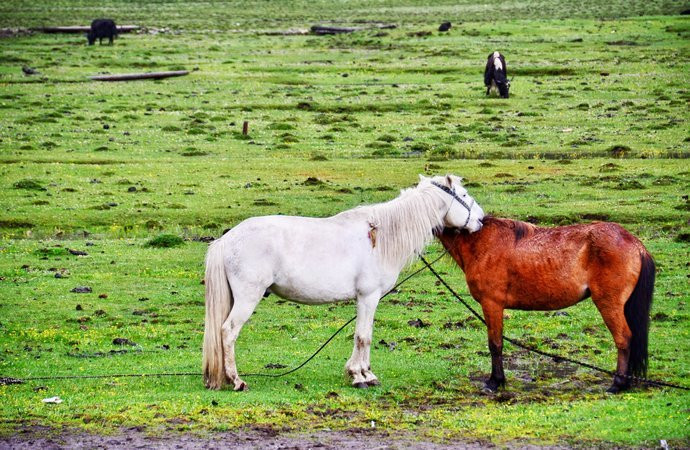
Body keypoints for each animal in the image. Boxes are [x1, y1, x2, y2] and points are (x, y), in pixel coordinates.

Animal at [203, 173, 484, 390]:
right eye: (464, 194)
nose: (481, 219)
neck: (380, 235)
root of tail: (227, 239)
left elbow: (364, 334)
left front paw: (365, 373)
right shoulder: (368, 296)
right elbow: (363, 336)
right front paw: (360, 376)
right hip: (247, 298)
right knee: (228, 332)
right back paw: (236, 380)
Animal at [438, 218, 652, 394]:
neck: (479, 240)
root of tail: (635, 244)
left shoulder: (492, 304)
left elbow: (495, 344)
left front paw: (495, 382)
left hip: (609, 304)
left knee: (623, 338)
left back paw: (617, 384)